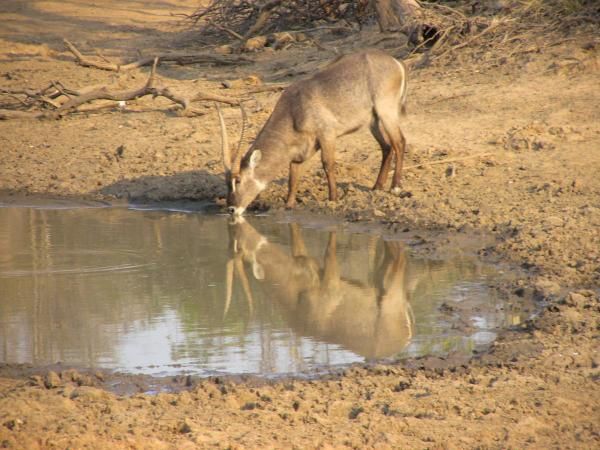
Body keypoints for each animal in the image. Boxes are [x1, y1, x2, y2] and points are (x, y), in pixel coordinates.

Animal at [218, 49, 410, 216]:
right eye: (227, 182)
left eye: (238, 180)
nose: (231, 209)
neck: (293, 110)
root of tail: (396, 62)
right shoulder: (301, 152)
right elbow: (293, 175)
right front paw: (289, 204)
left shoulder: (327, 135)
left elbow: (328, 164)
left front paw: (333, 199)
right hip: (374, 121)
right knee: (387, 147)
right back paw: (377, 186)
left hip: (386, 112)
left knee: (399, 142)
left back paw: (395, 187)